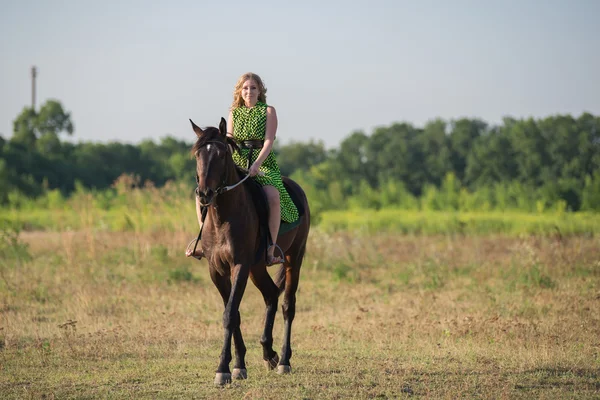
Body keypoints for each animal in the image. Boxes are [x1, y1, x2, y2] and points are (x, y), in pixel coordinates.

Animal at [189, 118, 312, 384]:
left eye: (222, 154)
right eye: (197, 155)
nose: (204, 194)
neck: (224, 216)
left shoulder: (240, 266)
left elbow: (229, 314)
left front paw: (223, 370)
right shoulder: (217, 270)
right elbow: (233, 314)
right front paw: (238, 365)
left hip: (293, 259)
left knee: (288, 305)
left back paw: (284, 360)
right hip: (257, 268)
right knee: (271, 295)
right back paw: (269, 353)